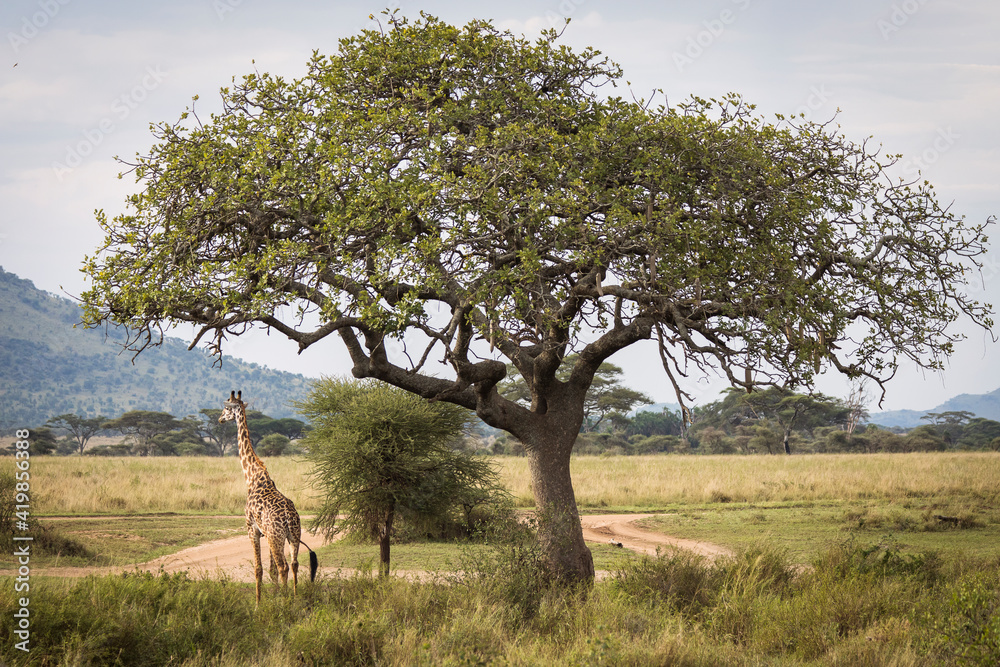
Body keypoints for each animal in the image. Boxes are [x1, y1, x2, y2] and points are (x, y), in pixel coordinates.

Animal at [219, 388, 316, 604]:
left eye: (226, 408)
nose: (220, 419)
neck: (252, 476)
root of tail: (289, 517)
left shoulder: (252, 529)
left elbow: (259, 569)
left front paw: (258, 604)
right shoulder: (265, 533)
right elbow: (270, 571)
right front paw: (274, 596)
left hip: (275, 536)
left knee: (283, 566)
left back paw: (286, 602)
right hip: (293, 535)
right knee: (294, 564)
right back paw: (294, 598)